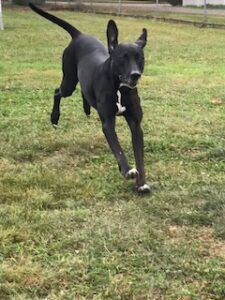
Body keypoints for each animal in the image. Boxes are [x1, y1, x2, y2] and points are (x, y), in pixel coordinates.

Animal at [29, 3, 150, 193]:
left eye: (141, 58)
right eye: (122, 58)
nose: (135, 75)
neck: (119, 88)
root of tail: (79, 35)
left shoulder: (135, 124)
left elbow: (139, 156)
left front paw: (141, 183)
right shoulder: (108, 123)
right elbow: (118, 149)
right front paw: (126, 169)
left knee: (83, 91)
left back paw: (86, 109)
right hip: (69, 81)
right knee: (57, 92)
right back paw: (54, 118)